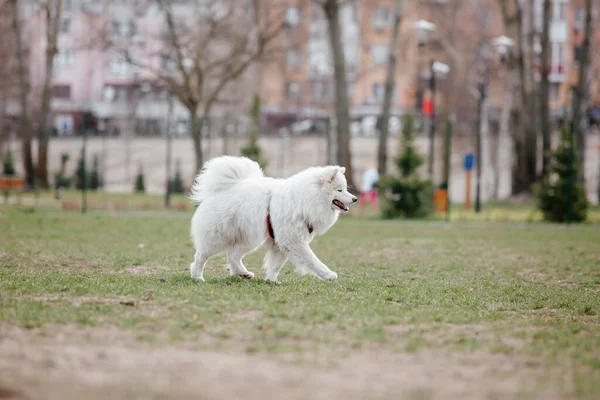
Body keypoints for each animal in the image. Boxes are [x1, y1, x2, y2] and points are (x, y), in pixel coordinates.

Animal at [188, 155, 356, 282]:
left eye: (345, 189)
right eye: (339, 190)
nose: (354, 199)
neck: (305, 201)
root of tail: (224, 188)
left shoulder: (281, 243)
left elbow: (275, 265)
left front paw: (271, 281)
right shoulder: (293, 241)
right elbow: (312, 260)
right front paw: (328, 275)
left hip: (250, 238)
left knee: (233, 255)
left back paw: (243, 273)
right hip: (218, 238)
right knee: (201, 256)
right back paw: (197, 277)